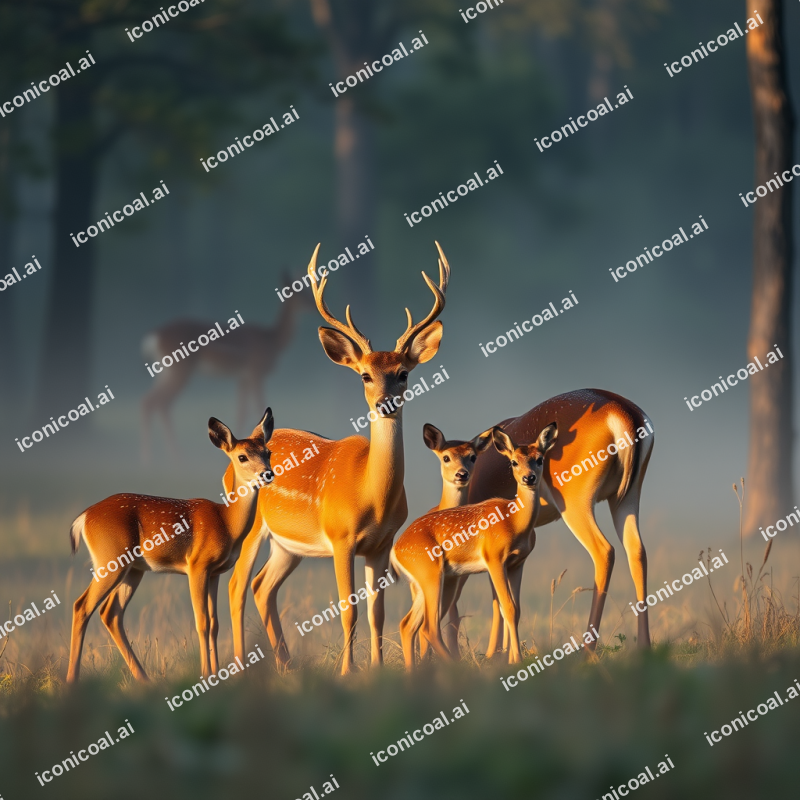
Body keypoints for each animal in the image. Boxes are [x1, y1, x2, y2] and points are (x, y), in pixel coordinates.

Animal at [67, 408, 275, 683]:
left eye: (268, 452)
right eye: (242, 457)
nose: (268, 474)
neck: (226, 522)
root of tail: (84, 517)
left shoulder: (215, 572)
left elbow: (214, 623)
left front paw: (216, 673)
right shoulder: (197, 565)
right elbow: (202, 622)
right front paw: (206, 675)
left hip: (133, 570)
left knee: (110, 613)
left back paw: (144, 679)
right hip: (109, 560)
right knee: (82, 606)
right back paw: (71, 681)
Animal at [141, 277, 310, 460]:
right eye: (298, 292)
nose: (312, 305)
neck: (272, 339)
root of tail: (154, 336)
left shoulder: (243, 378)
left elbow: (241, 412)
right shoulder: (256, 373)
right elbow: (258, 407)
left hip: (166, 371)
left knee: (153, 402)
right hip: (179, 370)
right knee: (157, 402)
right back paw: (162, 458)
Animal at [222, 243, 451, 675]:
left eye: (403, 373)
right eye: (364, 375)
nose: (384, 403)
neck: (371, 495)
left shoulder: (381, 545)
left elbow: (377, 612)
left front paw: (376, 668)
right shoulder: (341, 538)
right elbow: (349, 610)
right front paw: (348, 671)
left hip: (289, 546)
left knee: (263, 586)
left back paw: (286, 665)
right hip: (253, 523)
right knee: (237, 583)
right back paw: (243, 663)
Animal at [392, 423, 558, 670]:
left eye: (540, 459)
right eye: (514, 462)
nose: (529, 478)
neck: (514, 521)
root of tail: (396, 550)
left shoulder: (517, 563)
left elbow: (515, 610)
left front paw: (511, 659)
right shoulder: (495, 559)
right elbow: (508, 608)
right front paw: (517, 661)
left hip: (432, 581)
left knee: (408, 624)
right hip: (431, 575)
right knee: (429, 627)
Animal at [458, 389, 654, 657]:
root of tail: (620, 408)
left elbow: (497, 598)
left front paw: (494, 654)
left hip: (576, 507)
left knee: (604, 551)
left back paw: (587, 650)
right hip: (625, 500)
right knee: (637, 552)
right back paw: (645, 646)